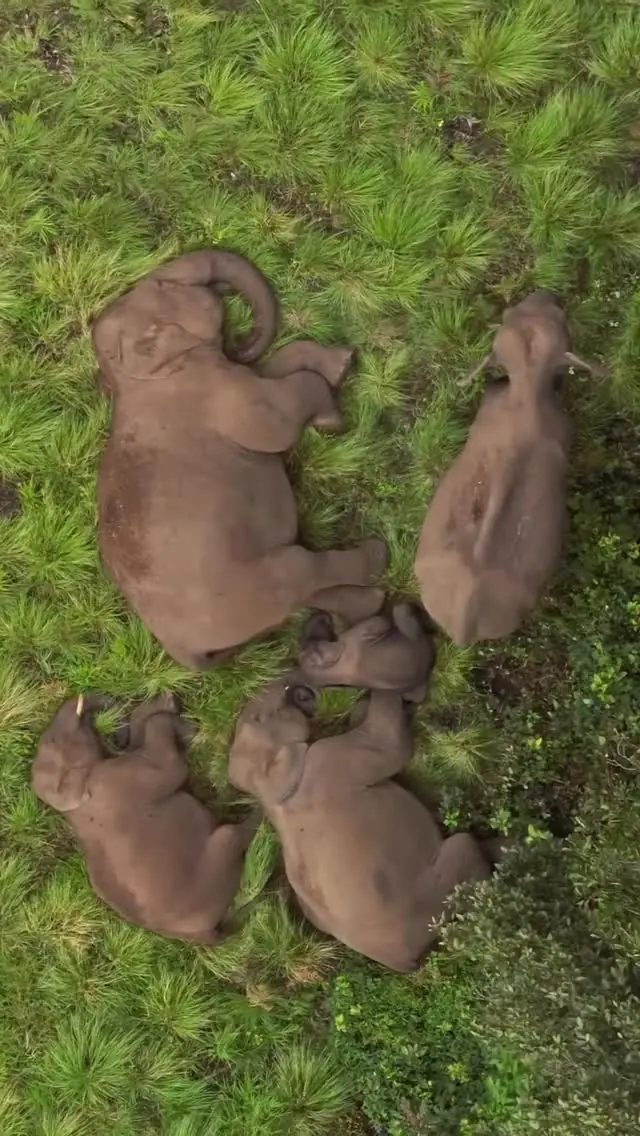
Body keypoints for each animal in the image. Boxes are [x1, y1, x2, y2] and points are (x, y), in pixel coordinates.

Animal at [31, 694, 258, 943]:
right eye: (52, 741)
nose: (114, 731)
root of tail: (207, 934)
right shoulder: (127, 780)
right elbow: (170, 763)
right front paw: (178, 718)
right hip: (217, 861)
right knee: (232, 835)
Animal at [92, 249, 387, 669]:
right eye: (165, 286)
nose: (240, 336)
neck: (130, 378)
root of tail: (183, 650)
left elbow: (271, 370)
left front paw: (339, 364)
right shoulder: (218, 395)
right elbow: (277, 421)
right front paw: (332, 416)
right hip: (259, 583)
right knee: (304, 574)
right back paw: (377, 556)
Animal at [228, 680, 490, 971]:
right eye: (258, 718)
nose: (281, 684)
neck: (269, 793)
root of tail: (407, 962)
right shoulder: (329, 760)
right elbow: (388, 744)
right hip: (434, 892)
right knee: (465, 848)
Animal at [298, 602, 435, 701]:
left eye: (308, 646)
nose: (320, 614)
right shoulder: (365, 629)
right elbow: (382, 621)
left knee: (416, 697)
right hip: (404, 617)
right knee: (403, 610)